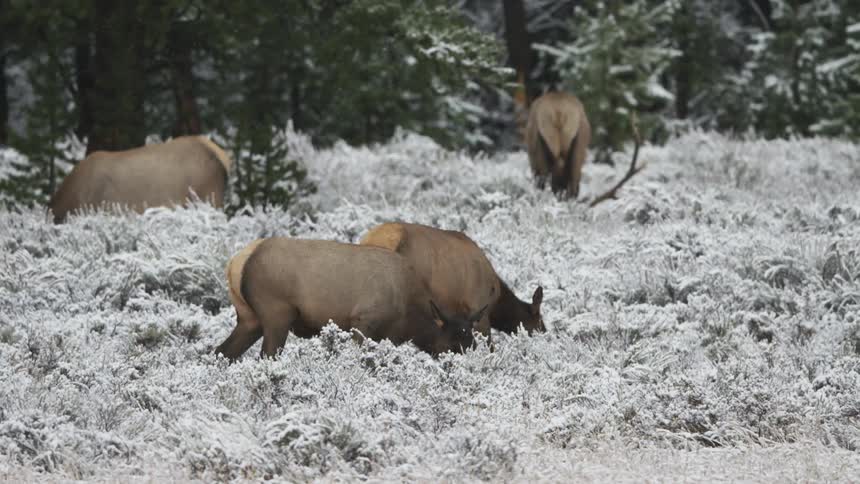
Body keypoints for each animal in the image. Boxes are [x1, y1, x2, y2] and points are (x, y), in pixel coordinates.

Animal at [215, 237, 487, 361]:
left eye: (473, 344)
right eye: (454, 344)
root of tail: (236, 264)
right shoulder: (363, 321)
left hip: (249, 318)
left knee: (222, 352)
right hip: (277, 313)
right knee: (266, 355)